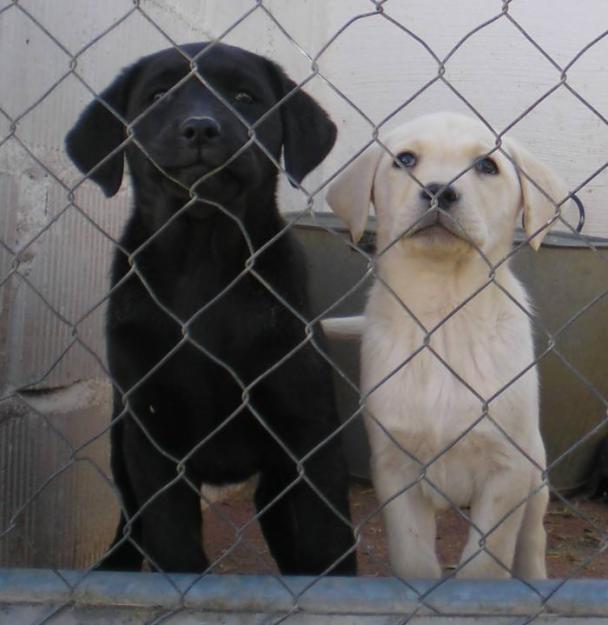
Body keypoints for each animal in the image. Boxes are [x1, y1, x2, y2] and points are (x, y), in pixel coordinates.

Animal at [65, 41, 356, 572]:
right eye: (158, 95)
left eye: (245, 97)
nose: (200, 128)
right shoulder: (152, 440)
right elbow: (171, 540)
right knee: (129, 521)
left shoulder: (307, 436)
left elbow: (326, 543)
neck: (202, 262)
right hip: (120, 443)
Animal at [328, 112, 568, 580]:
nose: (440, 190)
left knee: (534, 539)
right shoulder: (395, 467)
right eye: (405, 159)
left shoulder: (508, 470)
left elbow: (485, 563)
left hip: (536, 474)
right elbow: (414, 558)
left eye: (487, 166)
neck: (443, 317)